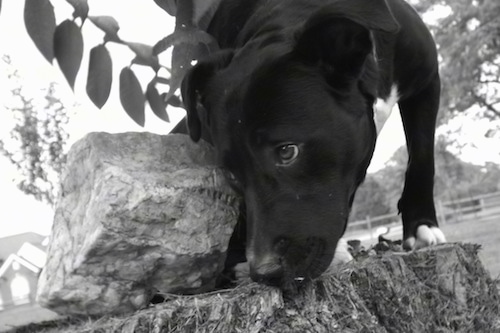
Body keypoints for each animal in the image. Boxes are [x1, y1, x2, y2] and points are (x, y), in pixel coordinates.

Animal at [175, 0, 446, 286]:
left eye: (287, 152)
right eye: (231, 174)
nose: (265, 272)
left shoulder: (428, 80)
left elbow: (422, 157)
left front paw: (421, 226)